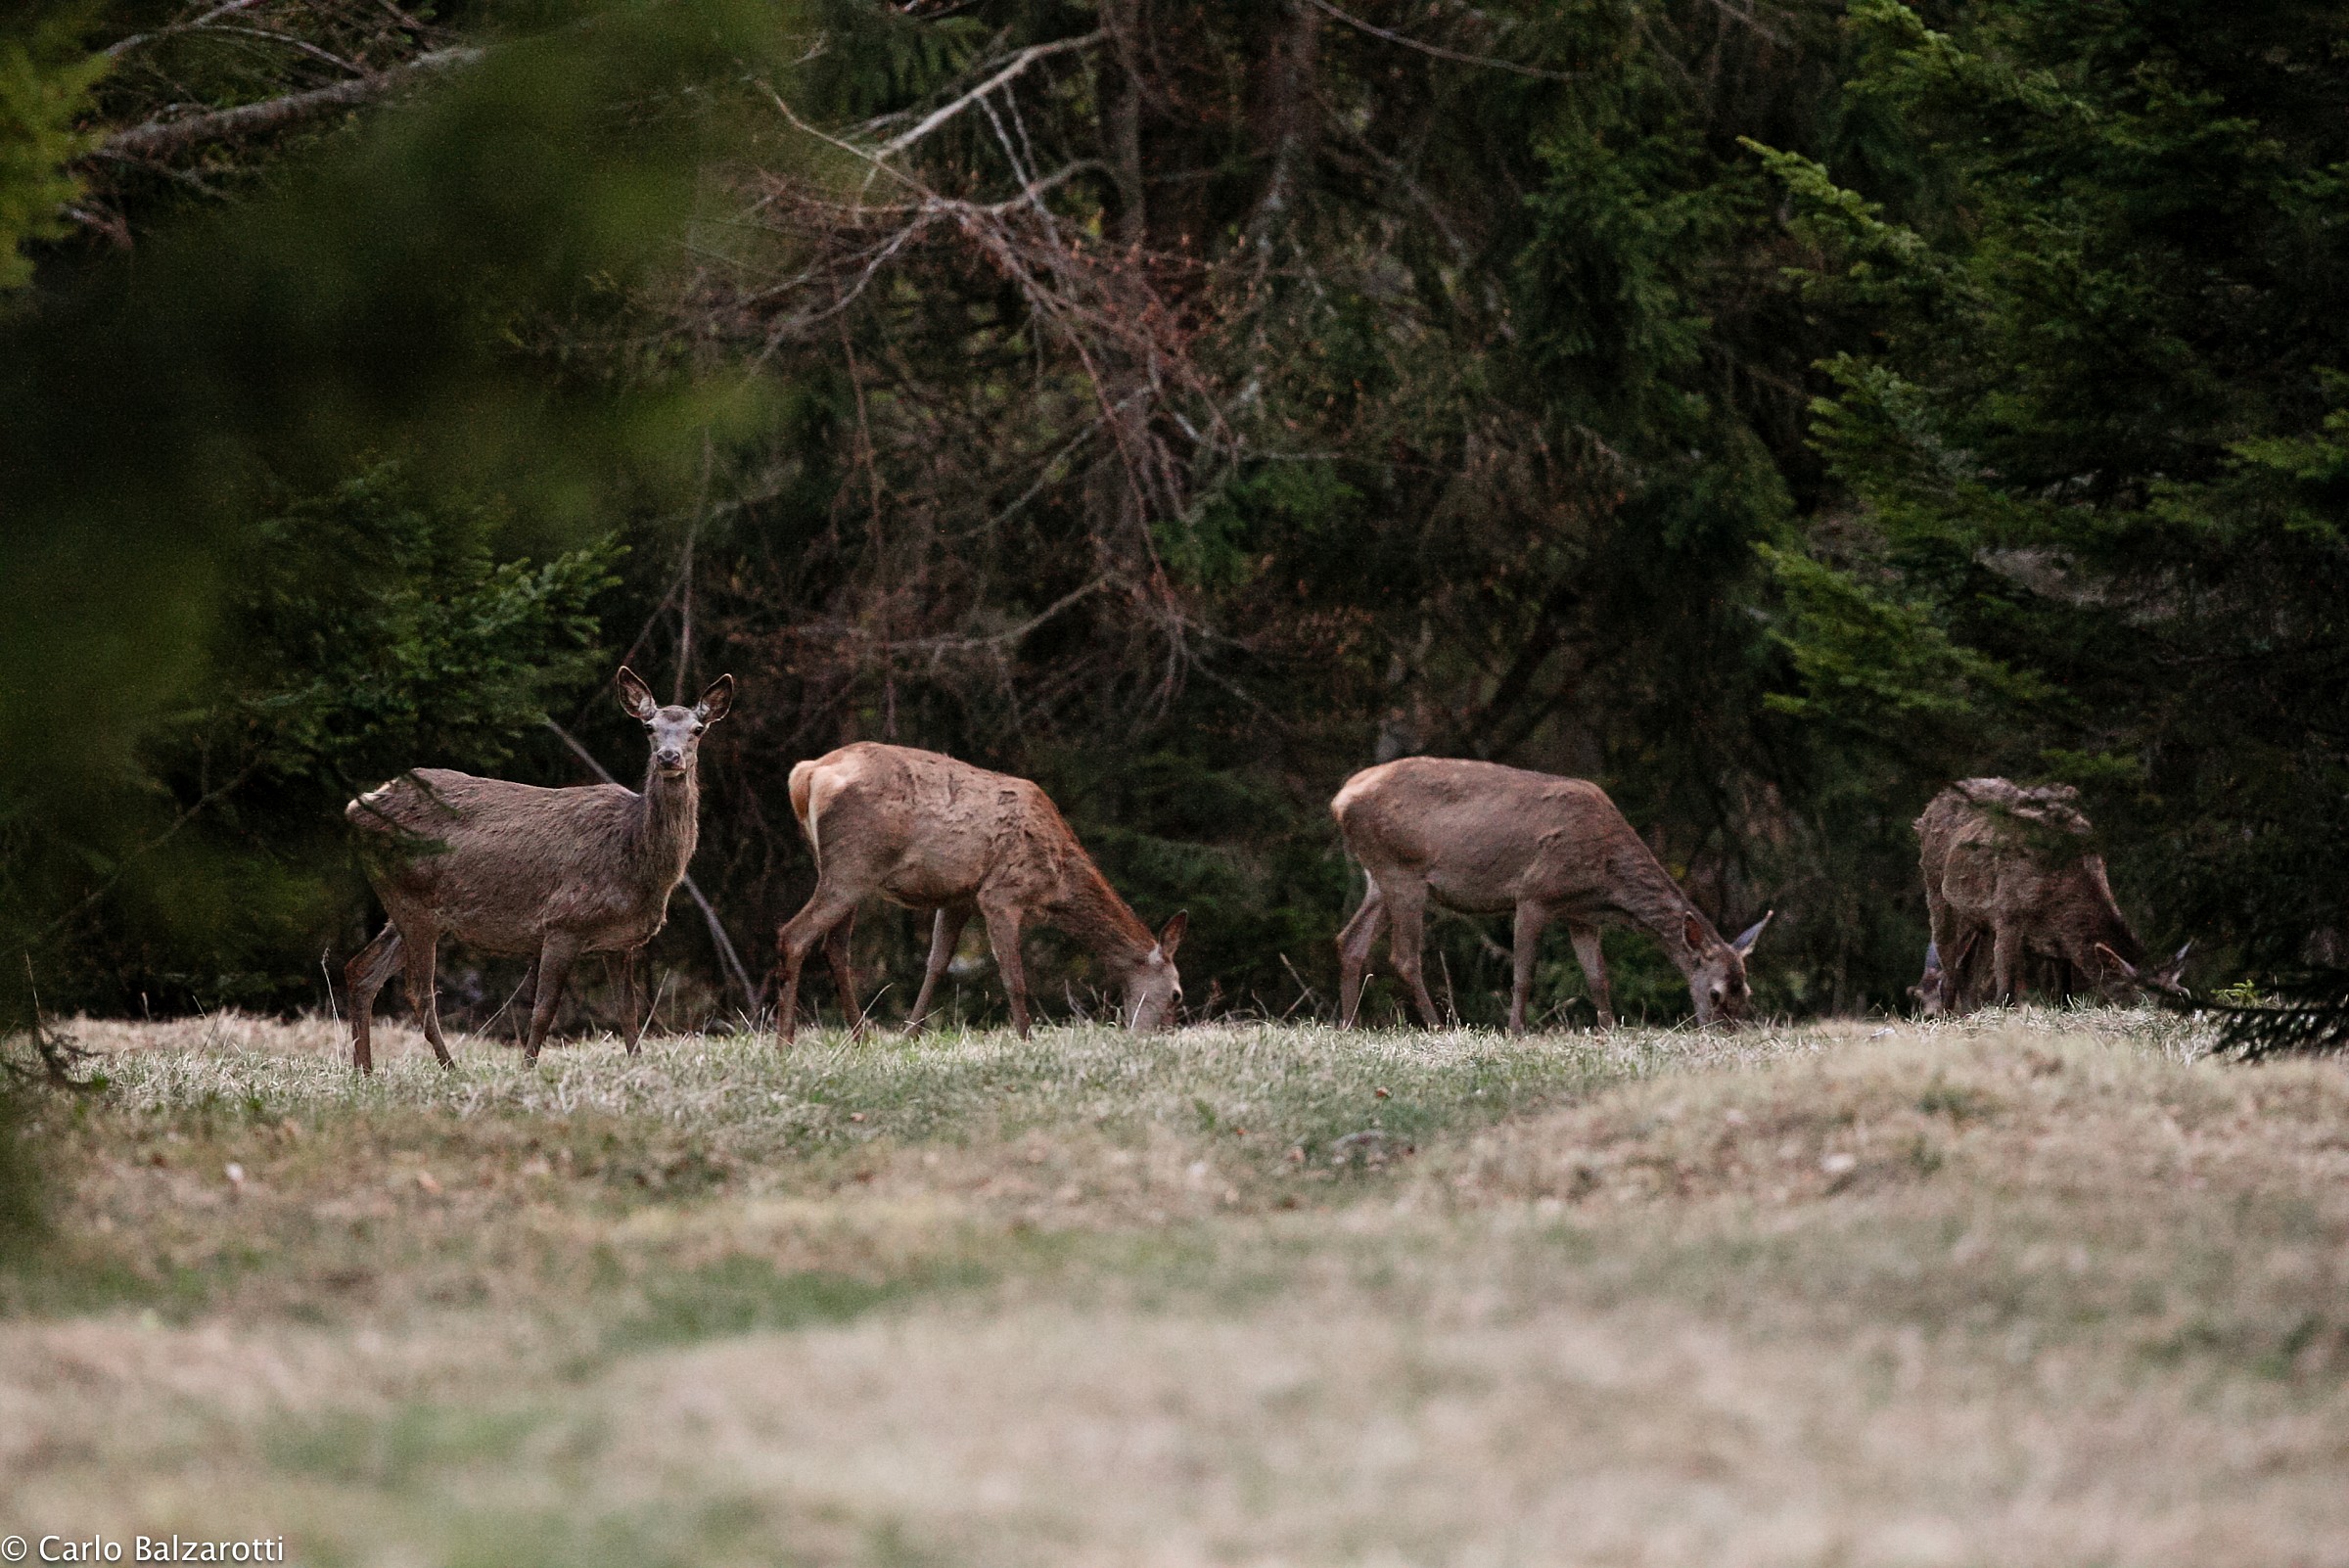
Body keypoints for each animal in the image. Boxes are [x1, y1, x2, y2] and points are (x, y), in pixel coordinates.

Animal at [341, 666, 734, 1072]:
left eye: (697, 729)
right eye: (648, 726)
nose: (668, 757)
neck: (634, 857)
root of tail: (357, 806)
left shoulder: (620, 941)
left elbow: (629, 1011)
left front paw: (637, 1064)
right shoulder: (563, 921)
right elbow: (544, 1009)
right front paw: (527, 1067)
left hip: (412, 909)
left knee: (361, 970)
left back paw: (364, 1069)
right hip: (411, 900)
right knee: (418, 991)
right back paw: (449, 1066)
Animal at [774, 742, 1186, 1042]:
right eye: (1177, 994)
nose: (1157, 1038)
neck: (1057, 879)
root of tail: (806, 773)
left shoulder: (959, 898)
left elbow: (937, 964)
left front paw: (910, 1037)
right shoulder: (1002, 894)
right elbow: (1014, 978)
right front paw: (1026, 1041)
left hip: (844, 870)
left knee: (834, 947)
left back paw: (859, 1039)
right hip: (853, 865)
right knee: (793, 935)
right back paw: (785, 1042)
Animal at [1331, 757, 1770, 1033]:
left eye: (1746, 991)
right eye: (1714, 993)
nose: (1726, 1032)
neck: (1606, 878)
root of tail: (1340, 798)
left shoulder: (1582, 916)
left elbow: (1598, 978)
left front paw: (1609, 1030)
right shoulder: (1534, 894)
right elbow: (1524, 973)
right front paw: (1516, 1030)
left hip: (1379, 877)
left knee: (1350, 939)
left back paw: (1350, 1025)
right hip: (1402, 870)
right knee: (1403, 956)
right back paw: (1438, 1026)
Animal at [1915, 777, 2187, 1014]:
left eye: (2168, 1000)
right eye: (2133, 995)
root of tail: (1929, 809)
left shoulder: (2059, 943)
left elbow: (2064, 995)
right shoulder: (2007, 915)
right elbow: (2006, 994)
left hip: (1980, 922)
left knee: (1967, 974)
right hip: (1939, 896)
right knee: (1948, 973)